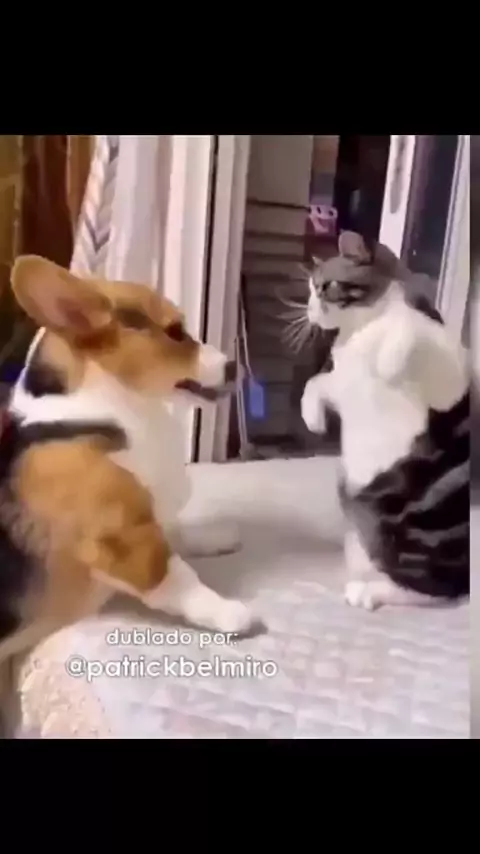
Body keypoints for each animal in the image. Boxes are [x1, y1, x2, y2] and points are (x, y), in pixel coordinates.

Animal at [301, 231, 469, 610]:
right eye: (310, 289)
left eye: (325, 287)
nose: (309, 310)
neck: (360, 331)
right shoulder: (339, 382)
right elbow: (314, 382)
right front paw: (312, 418)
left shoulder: (451, 376)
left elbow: (408, 326)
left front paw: (388, 360)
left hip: (405, 541)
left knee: (435, 591)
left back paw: (367, 592)